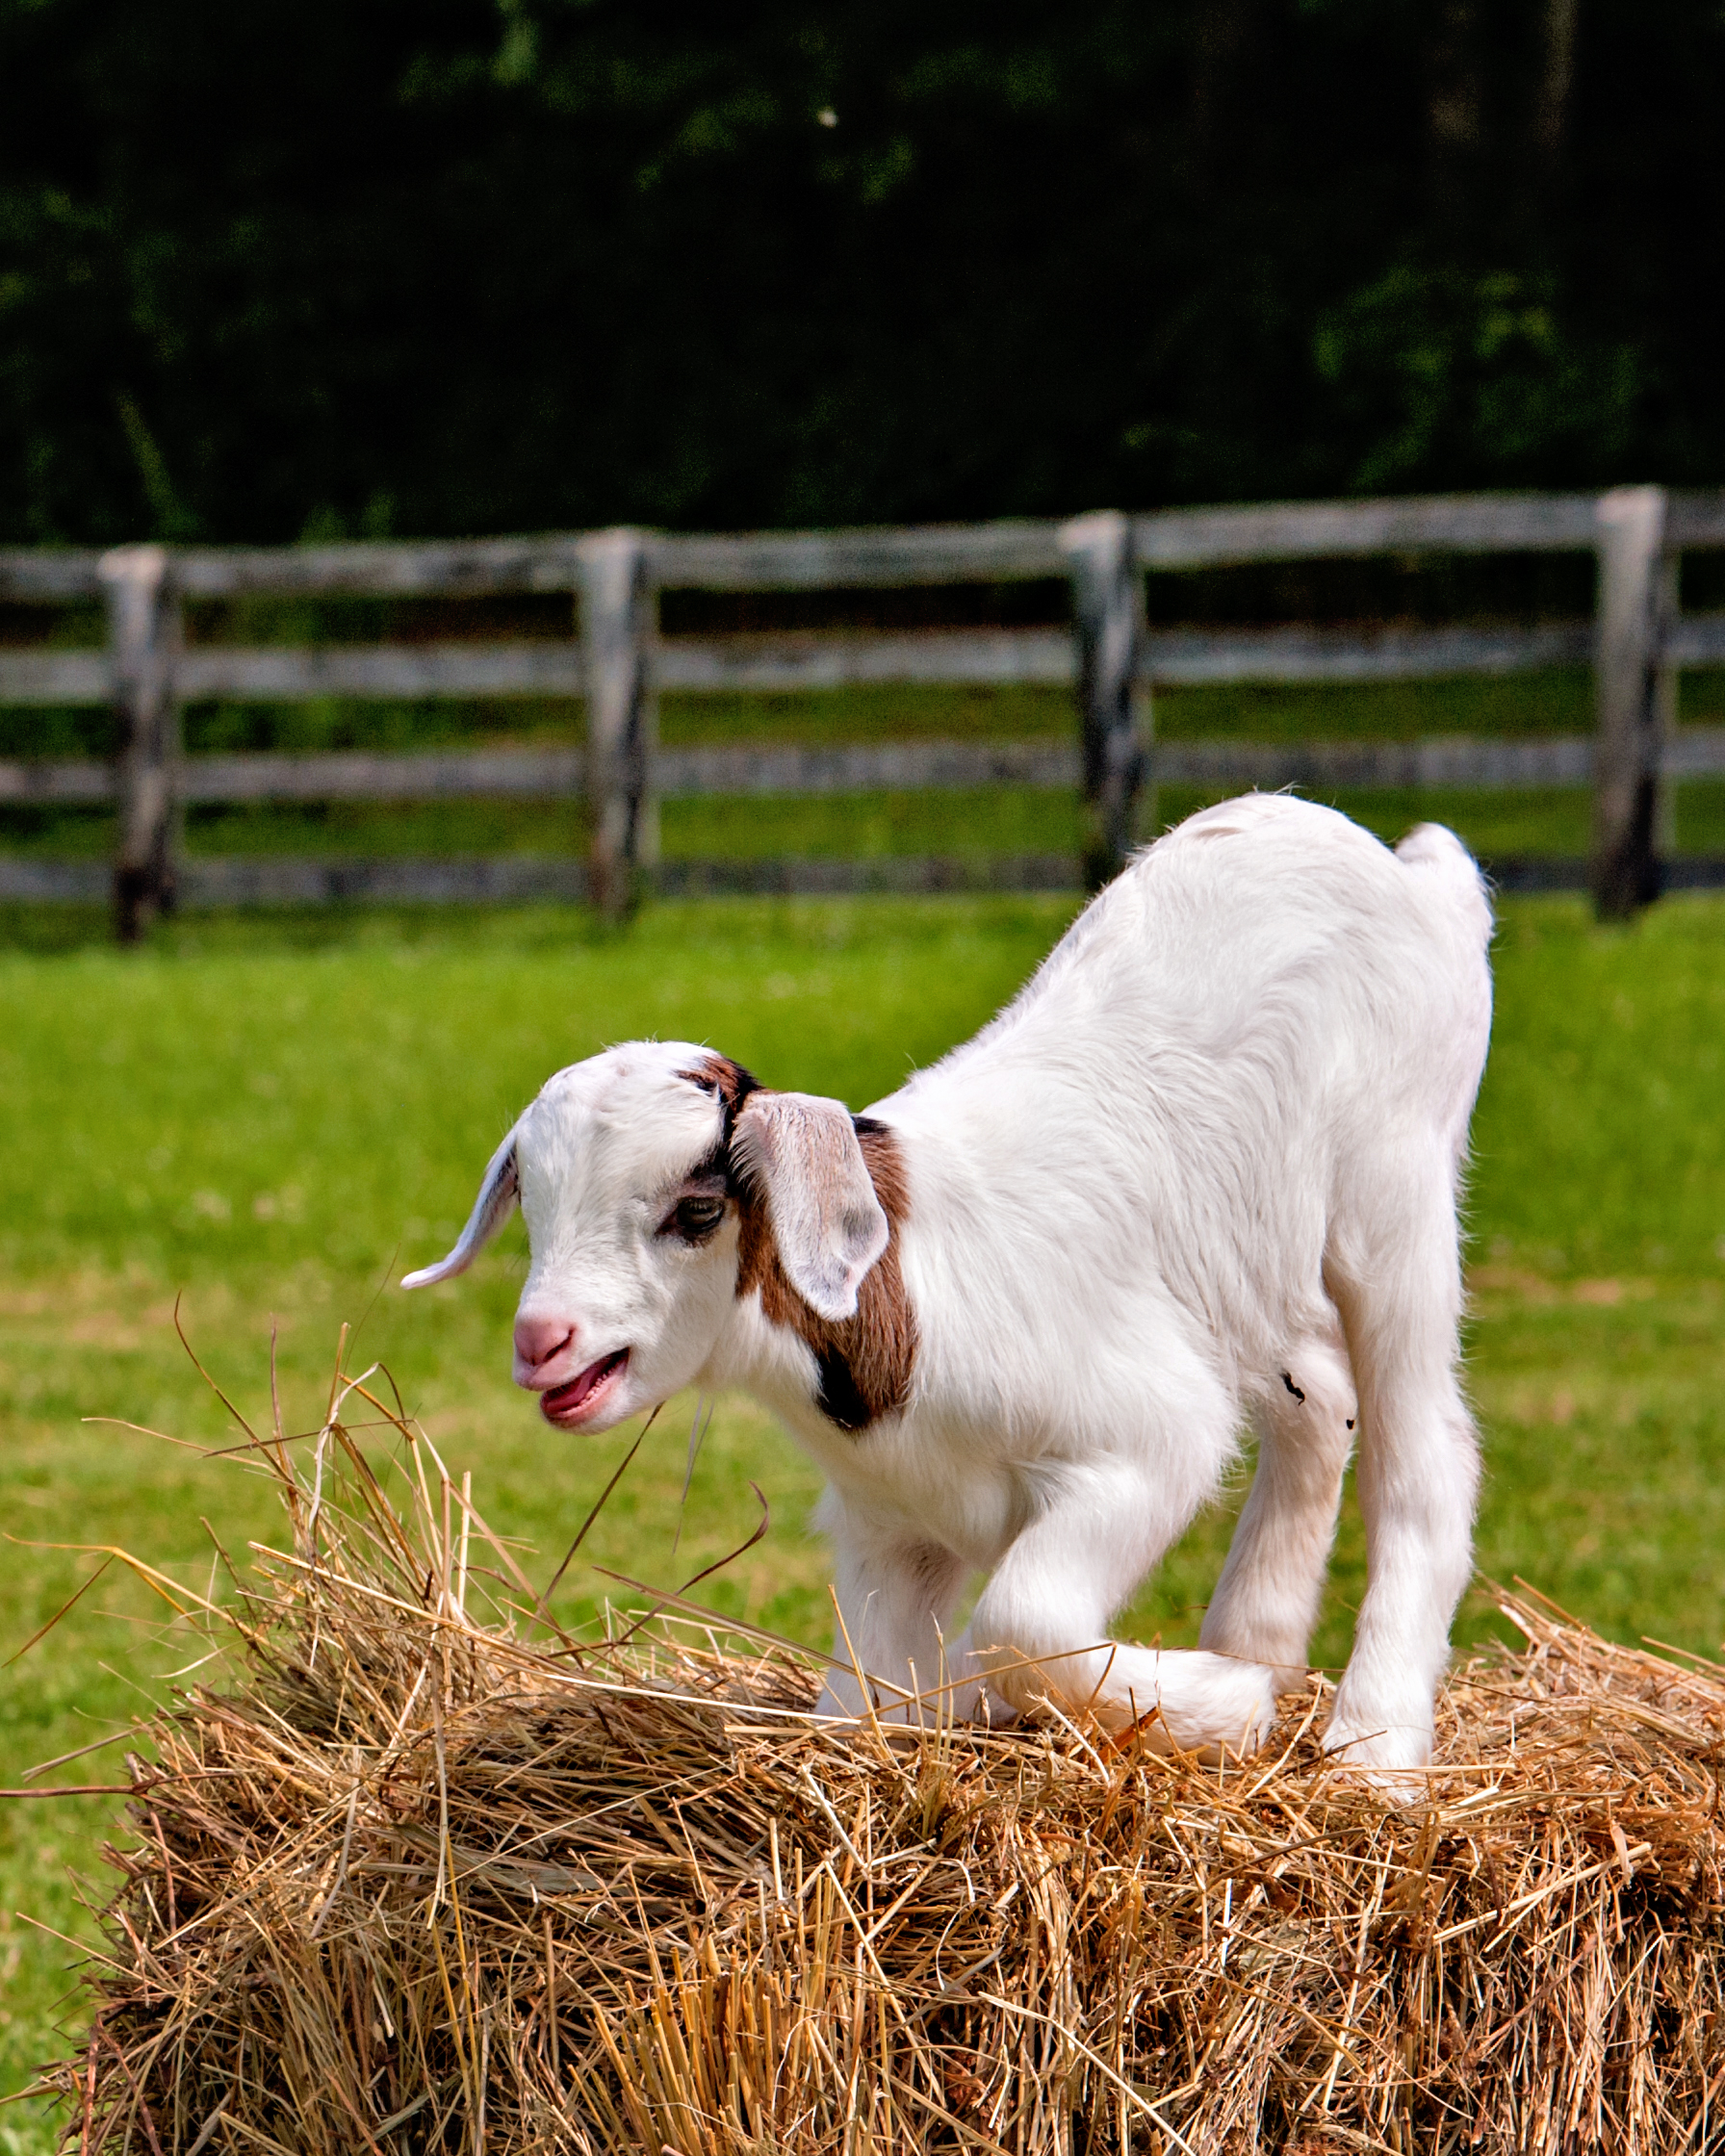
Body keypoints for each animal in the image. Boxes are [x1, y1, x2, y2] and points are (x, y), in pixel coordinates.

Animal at [405, 797, 1492, 1784]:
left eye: (699, 1209)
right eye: (534, 1208)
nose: (542, 1339)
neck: (905, 1308)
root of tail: (1411, 873)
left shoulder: (1148, 1440)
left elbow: (1021, 1622)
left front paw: (1225, 1705)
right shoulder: (893, 1535)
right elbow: (860, 1709)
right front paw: (1215, 1690)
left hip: (1392, 1193)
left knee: (1423, 1454)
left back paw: (1370, 1749)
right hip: (1255, 1266)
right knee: (1319, 1400)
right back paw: (1256, 1641)